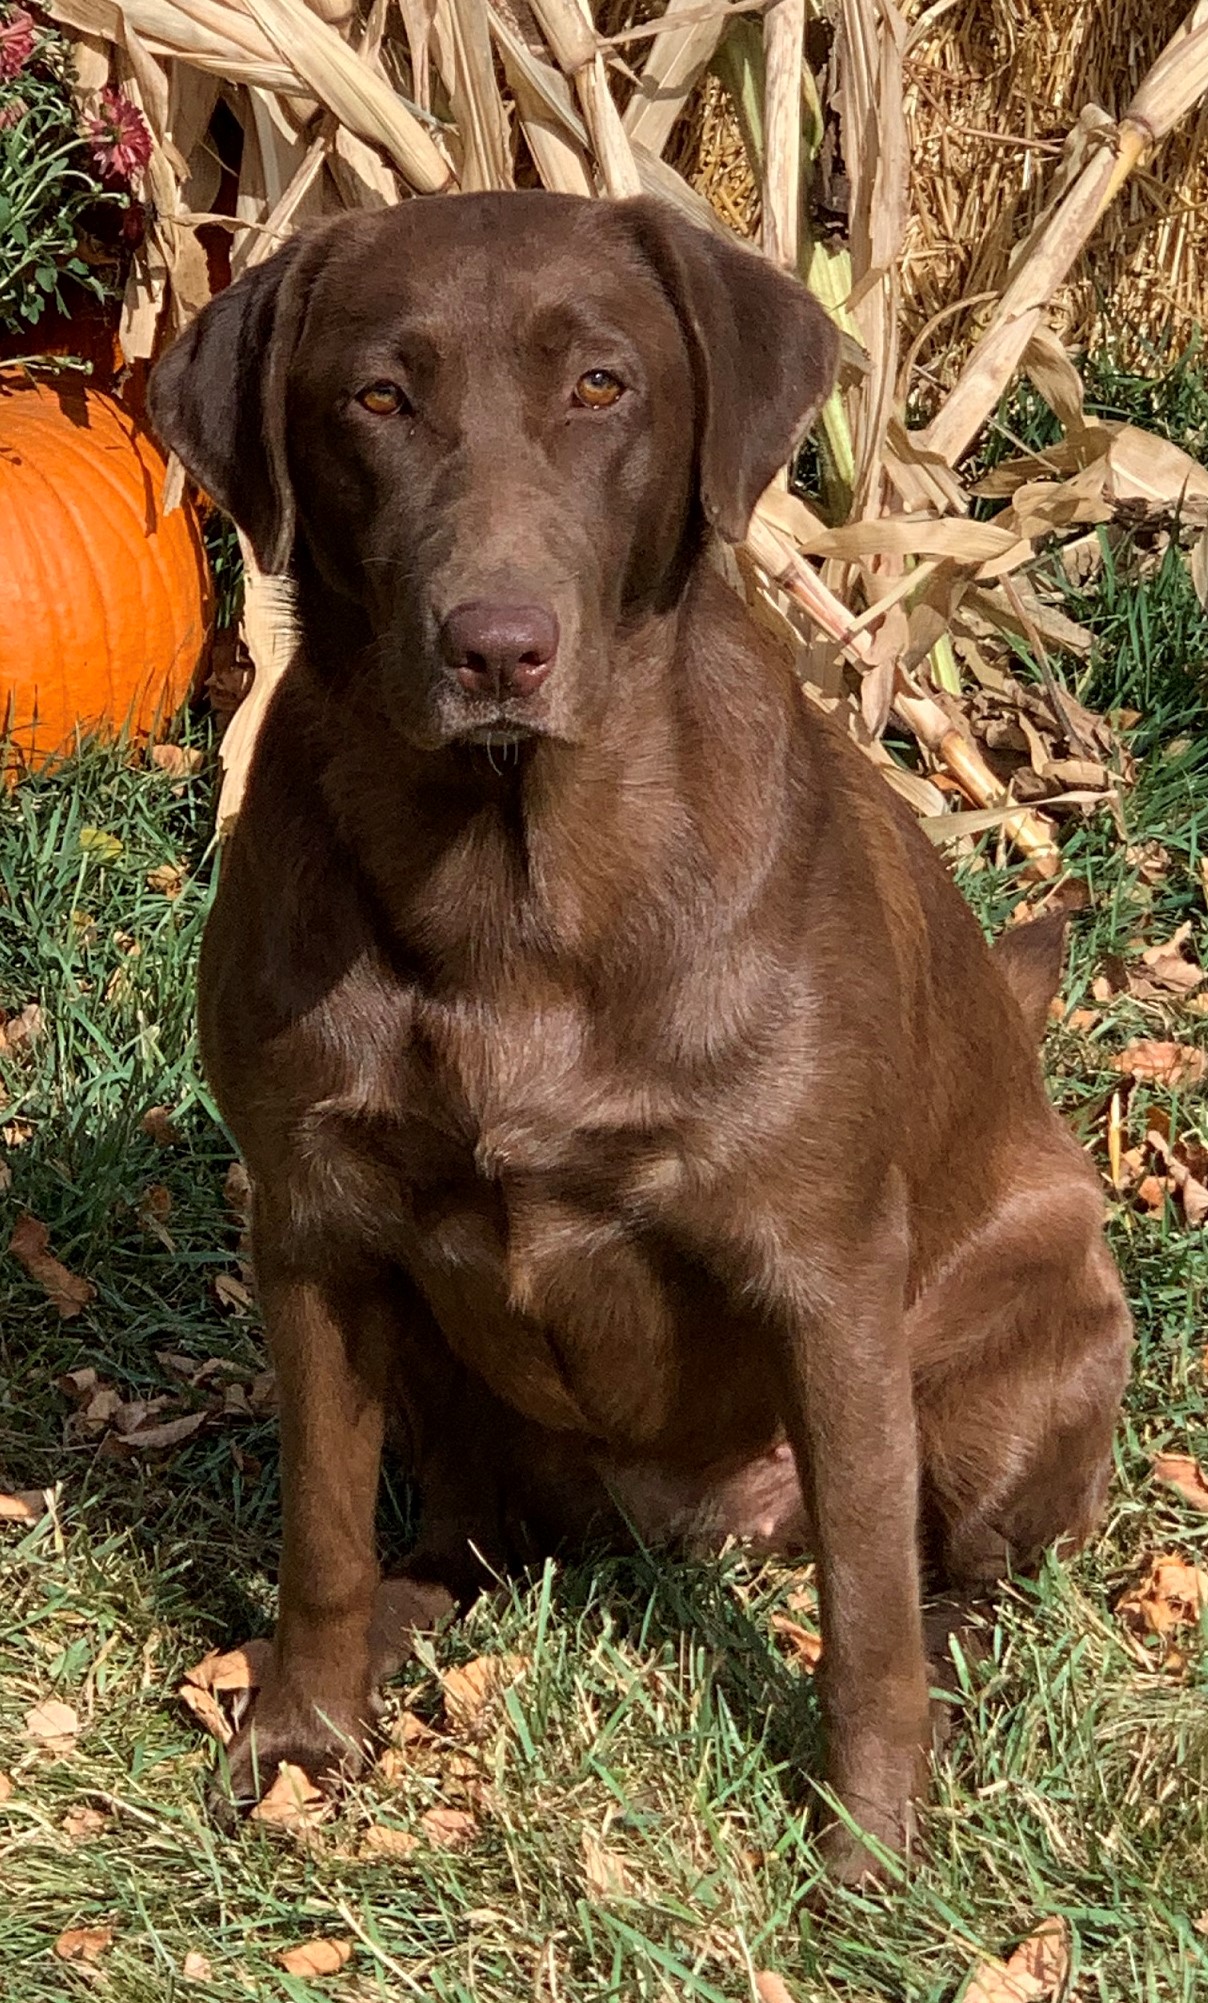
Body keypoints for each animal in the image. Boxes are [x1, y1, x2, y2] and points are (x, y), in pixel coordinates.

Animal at [151, 191, 1137, 1874]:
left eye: (601, 385)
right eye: (377, 398)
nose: (496, 644)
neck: (516, 885)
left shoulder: (825, 1276)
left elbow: (867, 1606)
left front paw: (869, 1847)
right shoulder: (317, 1231)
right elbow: (320, 1531)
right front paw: (300, 1736)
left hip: (1027, 1337)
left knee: (965, 1570)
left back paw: (960, 1670)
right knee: (474, 1524)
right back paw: (416, 1610)